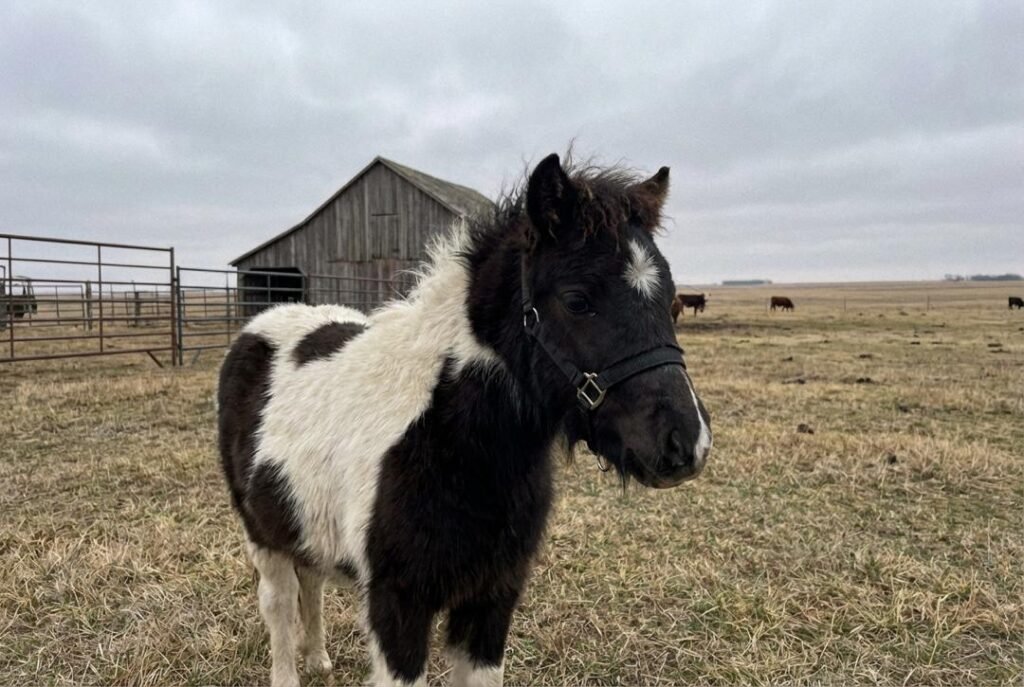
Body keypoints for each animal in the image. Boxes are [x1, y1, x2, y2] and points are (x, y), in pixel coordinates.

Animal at [217, 153, 712, 687]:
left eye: (670, 297)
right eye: (577, 299)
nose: (686, 442)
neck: (449, 439)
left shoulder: (491, 598)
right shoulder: (398, 606)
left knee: (310, 581)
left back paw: (318, 659)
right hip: (261, 534)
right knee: (280, 605)